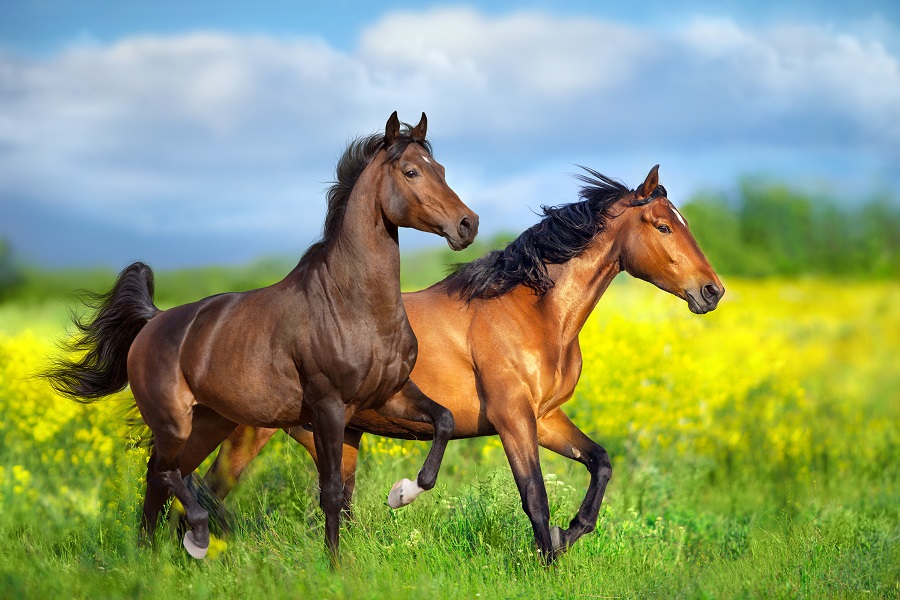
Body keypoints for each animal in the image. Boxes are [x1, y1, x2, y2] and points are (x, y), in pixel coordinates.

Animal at [44, 115, 478, 560]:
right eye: (411, 172)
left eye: (441, 169)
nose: (468, 224)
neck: (351, 302)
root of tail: (154, 320)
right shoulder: (329, 407)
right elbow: (332, 492)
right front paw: (336, 563)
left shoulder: (390, 394)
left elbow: (443, 421)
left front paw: (402, 492)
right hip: (174, 423)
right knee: (164, 472)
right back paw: (196, 537)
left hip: (208, 423)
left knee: (162, 478)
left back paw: (150, 555)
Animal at [199, 163, 724, 556]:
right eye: (663, 226)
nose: (712, 291)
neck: (534, 313)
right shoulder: (512, 418)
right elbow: (535, 496)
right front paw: (549, 561)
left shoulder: (545, 418)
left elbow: (601, 463)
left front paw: (568, 534)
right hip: (251, 431)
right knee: (208, 491)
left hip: (335, 435)